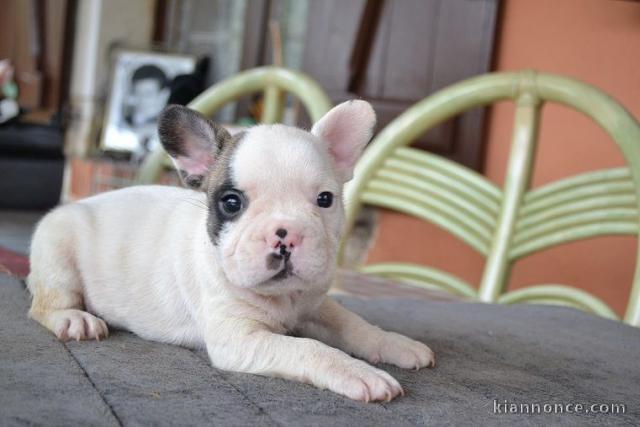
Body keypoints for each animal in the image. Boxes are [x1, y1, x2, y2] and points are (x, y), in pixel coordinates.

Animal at [26, 102, 436, 402]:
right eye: (231, 202)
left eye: (325, 200)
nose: (285, 234)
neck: (284, 299)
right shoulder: (239, 339)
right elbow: (310, 349)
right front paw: (358, 372)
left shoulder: (316, 306)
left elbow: (353, 324)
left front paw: (394, 343)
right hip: (57, 251)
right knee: (43, 305)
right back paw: (72, 318)